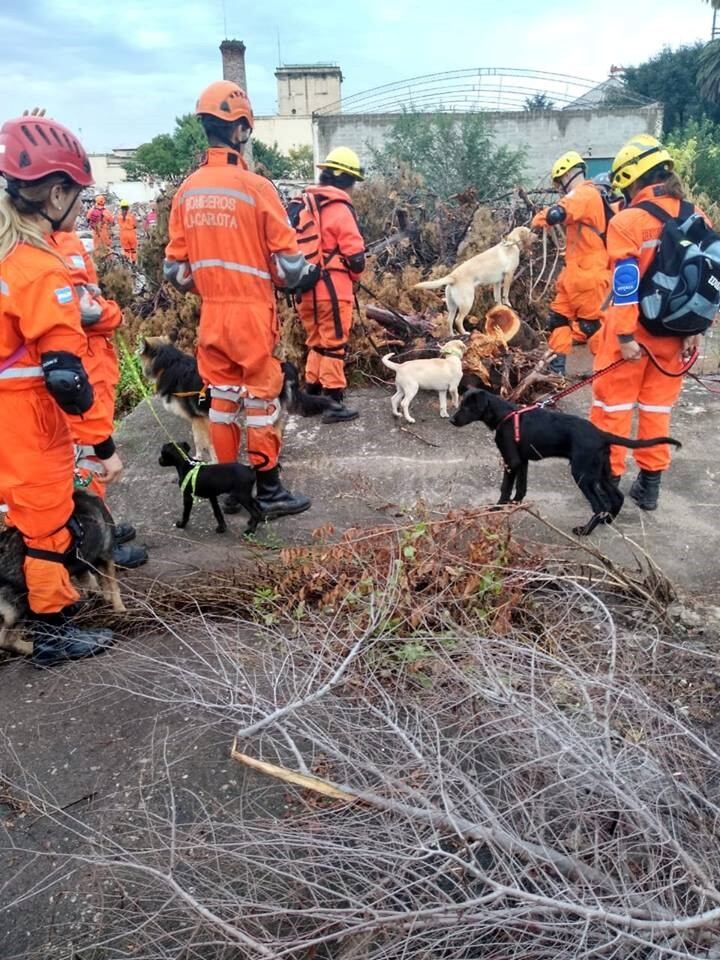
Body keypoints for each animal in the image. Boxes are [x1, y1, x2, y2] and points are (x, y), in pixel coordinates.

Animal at [0, 492, 125, 656]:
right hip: (20, 604)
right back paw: (33, 648)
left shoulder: (85, 562)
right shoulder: (106, 554)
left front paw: (102, 597)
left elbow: (95, 581)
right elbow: (112, 585)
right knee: (6, 639)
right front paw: (120, 608)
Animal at [140, 336, 338, 464]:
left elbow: (201, 441)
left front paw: (201, 459)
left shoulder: (197, 418)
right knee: (277, 433)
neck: (168, 364)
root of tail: (284, 366)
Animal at [450, 390, 680, 540]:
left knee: (600, 505)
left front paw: (497, 507)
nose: (452, 420)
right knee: (617, 496)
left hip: (583, 474)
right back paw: (607, 521)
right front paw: (516, 503)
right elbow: (521, 487)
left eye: (468, 406)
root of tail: (601, 434)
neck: (505, 415)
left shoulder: (511, 461)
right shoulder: (522, 461)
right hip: (600, 472)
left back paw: (585, 531)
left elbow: (505, 487)